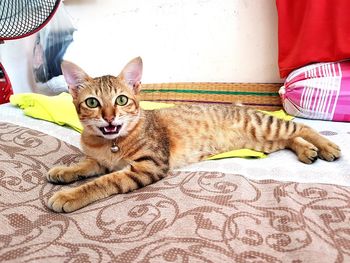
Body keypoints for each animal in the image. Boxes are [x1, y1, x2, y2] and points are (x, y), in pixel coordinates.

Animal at [45, 56, 340, 213]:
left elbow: (103, 182)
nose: (109, 117)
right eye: (92, 102)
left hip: (265, 127)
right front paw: (63, 171)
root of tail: (241, 107)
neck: (111, 143)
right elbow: (85, 164)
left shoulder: (148, 166)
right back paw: (307, 150)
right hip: (263, 140)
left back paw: (326, 146)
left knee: (301, 128)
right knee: (290, 138)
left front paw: (68, 196)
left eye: (121, 99)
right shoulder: (100, 160)